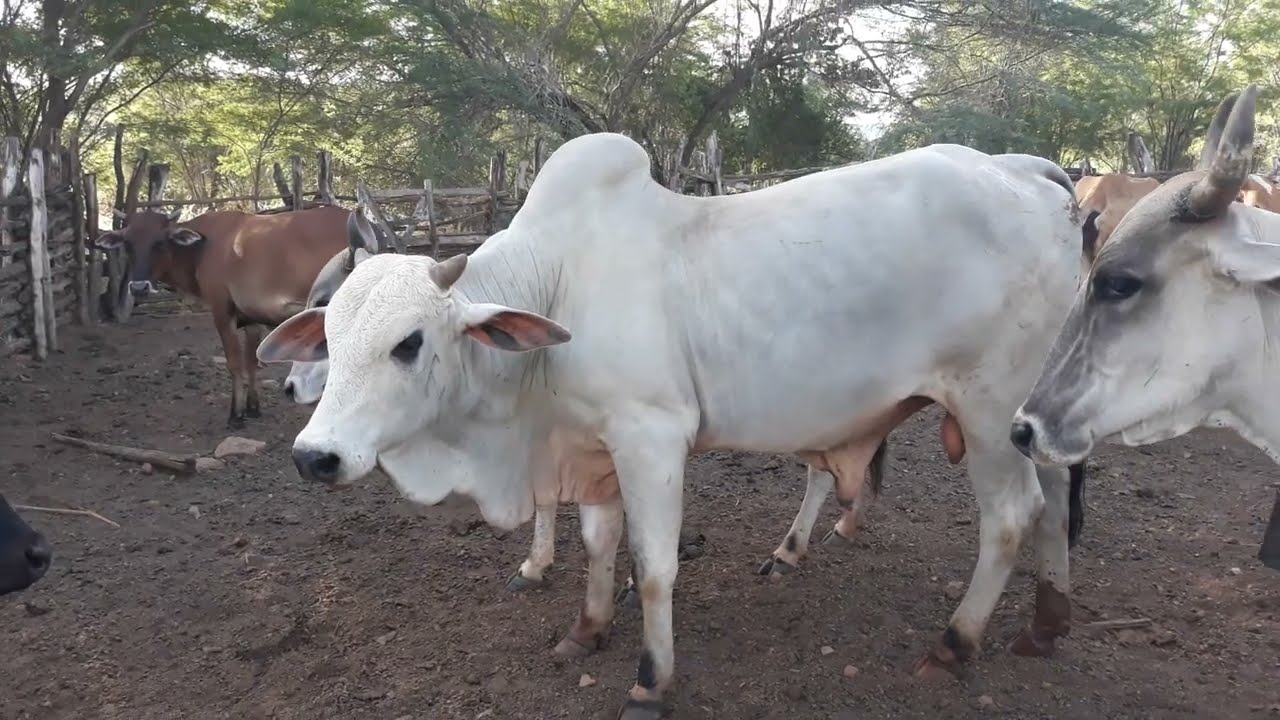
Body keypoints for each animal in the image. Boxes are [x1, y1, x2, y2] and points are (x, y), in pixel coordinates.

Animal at [95, 205, 355, 427]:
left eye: (159, 242)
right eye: (127, 243)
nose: (139, 287)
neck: (201, 248)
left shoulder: (221, 310)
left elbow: (234, 363)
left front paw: (236, 414)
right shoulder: (252, 316)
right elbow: (251, 361)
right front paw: (252, 407)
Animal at [259, 133, 1087, 718]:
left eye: (409, 343)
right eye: (327, 333)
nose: (314, 456)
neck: (557, 285)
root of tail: (1027, 173)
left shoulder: (650, 436)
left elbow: (653, 566)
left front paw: (651, 680)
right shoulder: (591, 447)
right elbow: (599, 546)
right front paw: (586, 629)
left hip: (986, 409)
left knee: (1012, 516)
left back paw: (956, 642)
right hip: (1024, 417)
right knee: (1051, 504)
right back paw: (1046, 624)